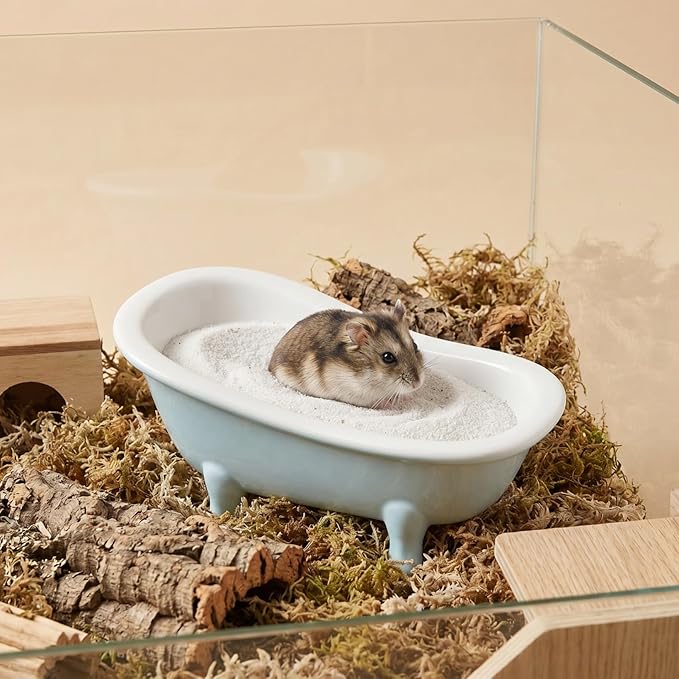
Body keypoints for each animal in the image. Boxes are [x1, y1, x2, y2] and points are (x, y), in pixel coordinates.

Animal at [268, 300, 424, 408]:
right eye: (388, 357)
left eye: (415, 346)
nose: (417, 384)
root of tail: (270, 364)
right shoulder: (355, 394)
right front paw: (392, 404)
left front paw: (408, 398)